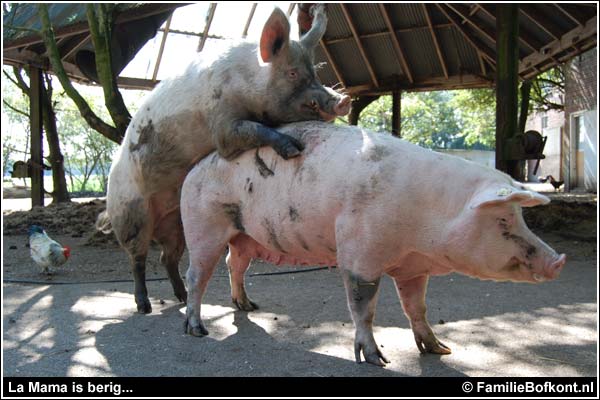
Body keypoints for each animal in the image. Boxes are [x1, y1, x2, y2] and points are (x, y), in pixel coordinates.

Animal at [98, 4, 352, 314]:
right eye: (292, 73)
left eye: (314, 72)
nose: (343, 100)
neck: (247, 81)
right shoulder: (221, 126)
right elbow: (249, 130)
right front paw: (293, 148)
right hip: (131, 215)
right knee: (137, 259)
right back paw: (144, 306)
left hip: (176, 225)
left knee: (166, 258)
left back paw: (183, 297)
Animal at [179, 121, 568, 366]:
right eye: (502, 221)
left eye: (520, 218)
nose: (558, 261)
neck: (426, 222)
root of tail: (193, 170)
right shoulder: (358, 252)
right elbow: (363, 305)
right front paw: (377, 360)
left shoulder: (413, 267)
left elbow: (417, 308)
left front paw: (440, 350)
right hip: (203, 228)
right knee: (195, 277)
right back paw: (196, 331)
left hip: (243, 236)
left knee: (234, 265)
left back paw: (249, 305)